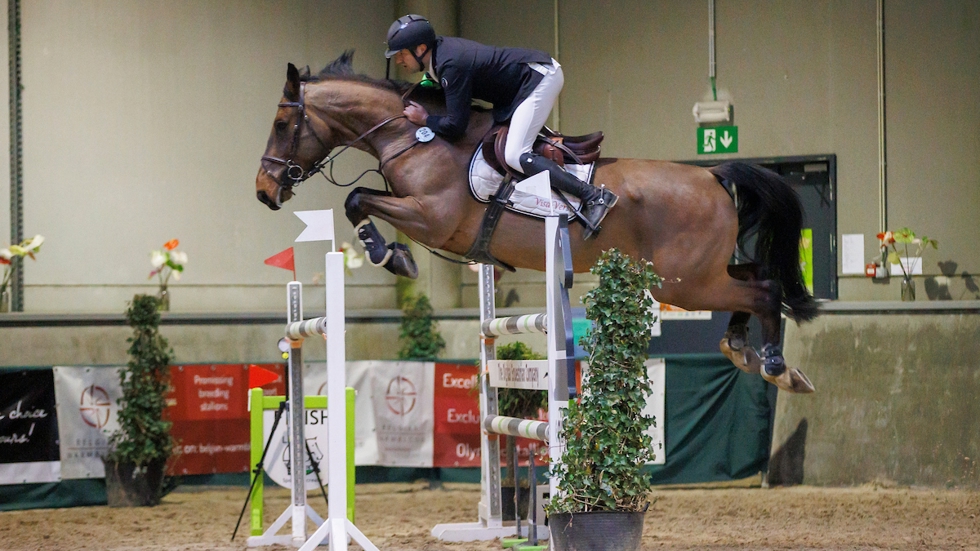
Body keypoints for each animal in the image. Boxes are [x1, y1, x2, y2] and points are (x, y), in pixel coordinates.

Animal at [255, 52, 820, 392]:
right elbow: (359, 200)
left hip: (685, 282)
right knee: (755, 277)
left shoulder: (431, 218)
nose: (263, 192)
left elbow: (356, 200)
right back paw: (744, 349)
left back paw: (775, 365)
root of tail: (712, 175)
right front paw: (389, 254)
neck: (415, 136)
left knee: (765, 289)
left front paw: (389, 256)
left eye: (282, 124)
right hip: (696, 275)